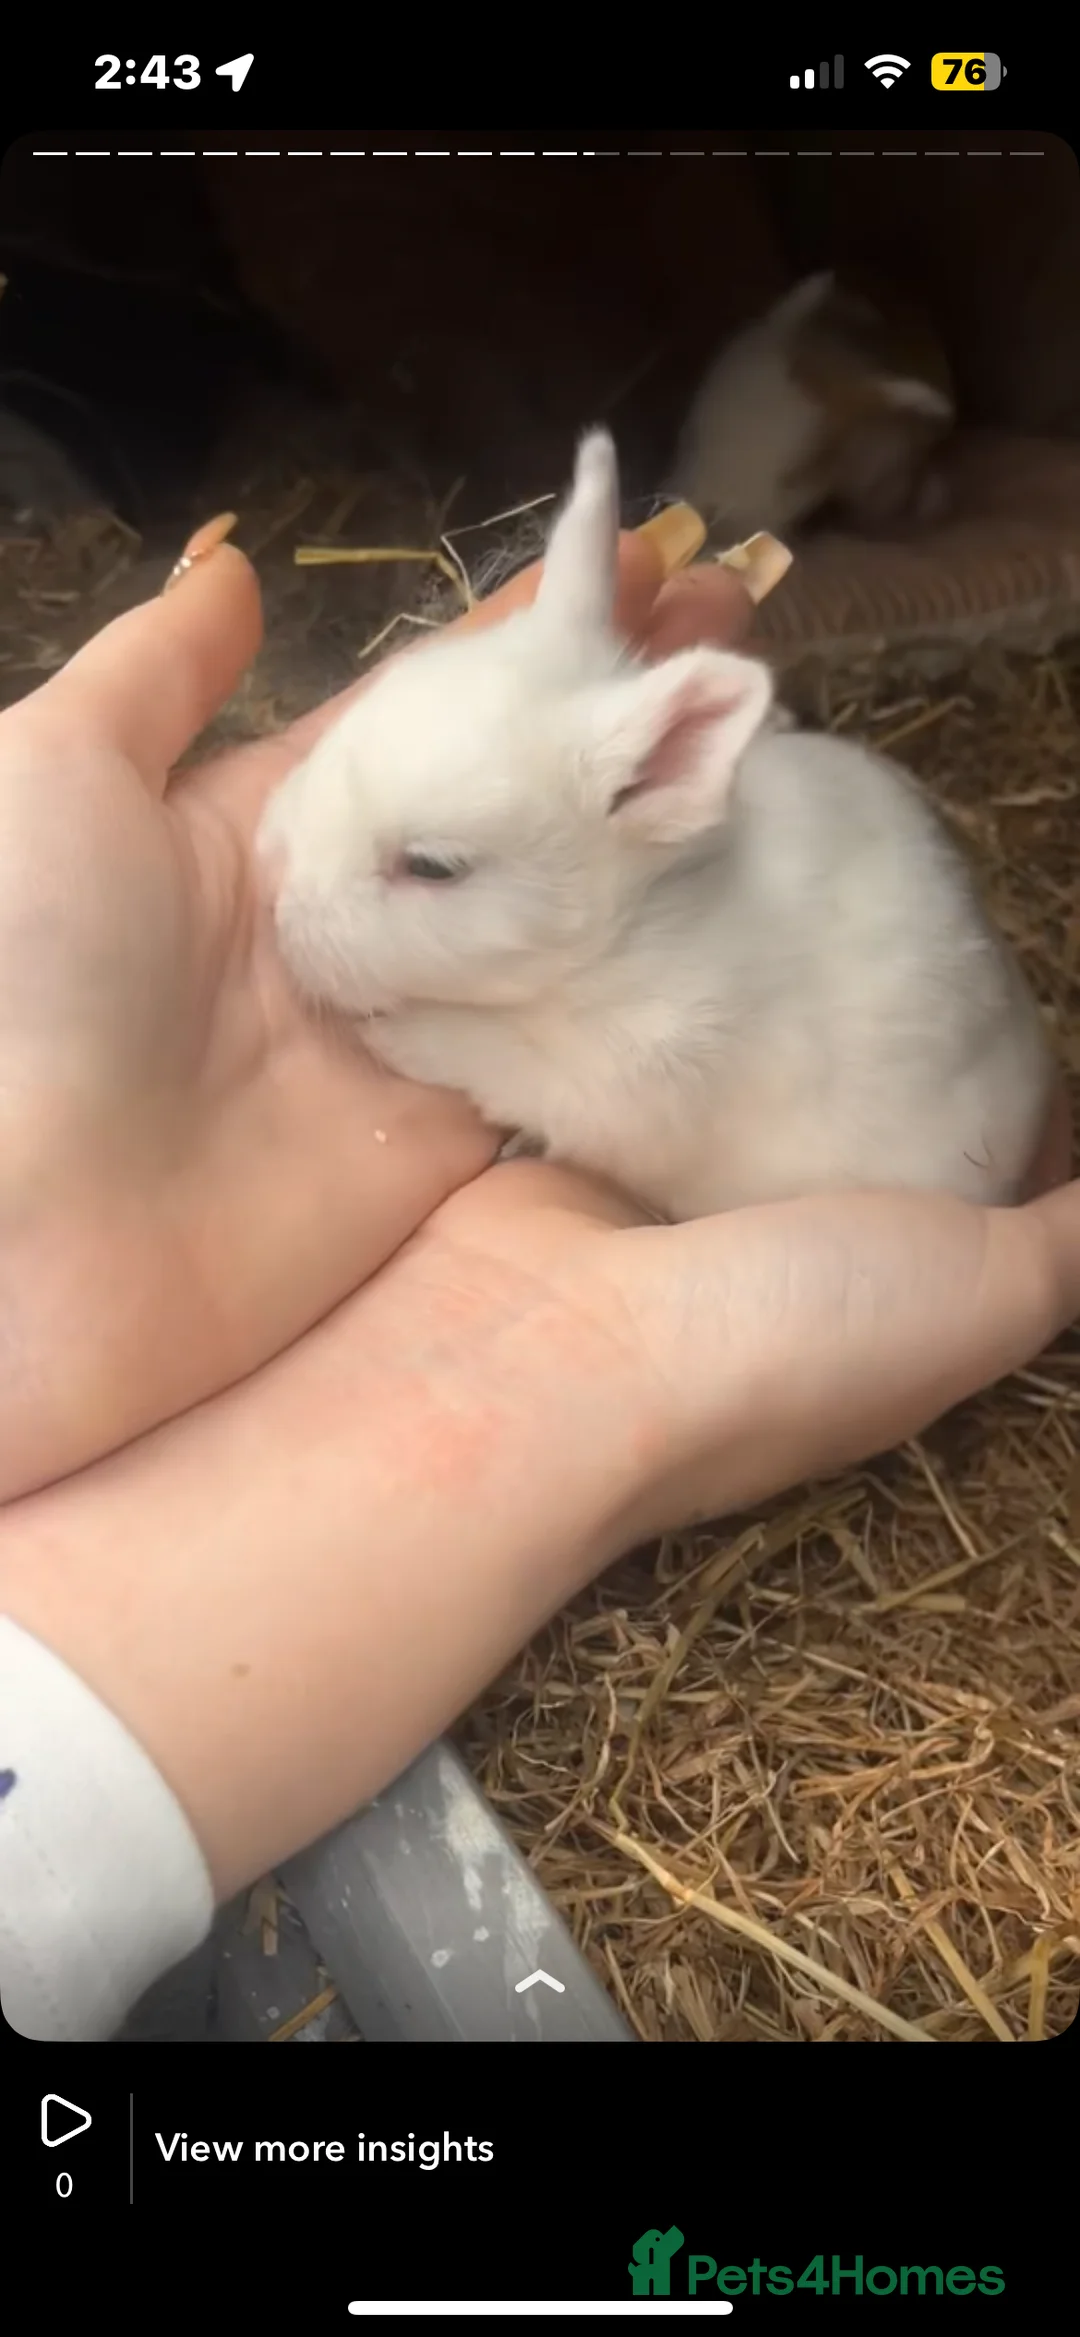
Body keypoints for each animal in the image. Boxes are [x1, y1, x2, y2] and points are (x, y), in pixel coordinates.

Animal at [257, 427, 1053, 1224]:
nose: (279, 905)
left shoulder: (622, 1077)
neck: (624, 939)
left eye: (432, 867)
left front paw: (396, 1035)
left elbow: (484, 1059)